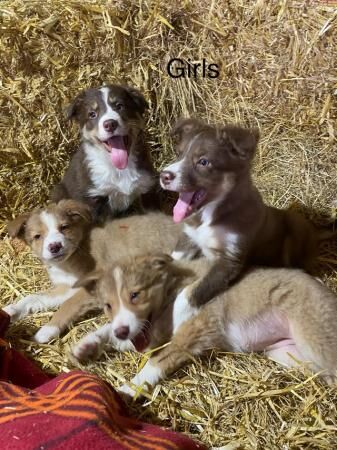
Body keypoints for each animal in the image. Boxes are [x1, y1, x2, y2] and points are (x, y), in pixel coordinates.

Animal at [72, 255, 336, 396]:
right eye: (108, 305)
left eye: (135, 295)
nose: (122, 330)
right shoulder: (152, 333)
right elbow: (115, 334)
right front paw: (86, 345)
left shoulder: (190, 334)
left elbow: (154, 363)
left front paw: (126, 390)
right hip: (288, 355)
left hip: (313, 340)